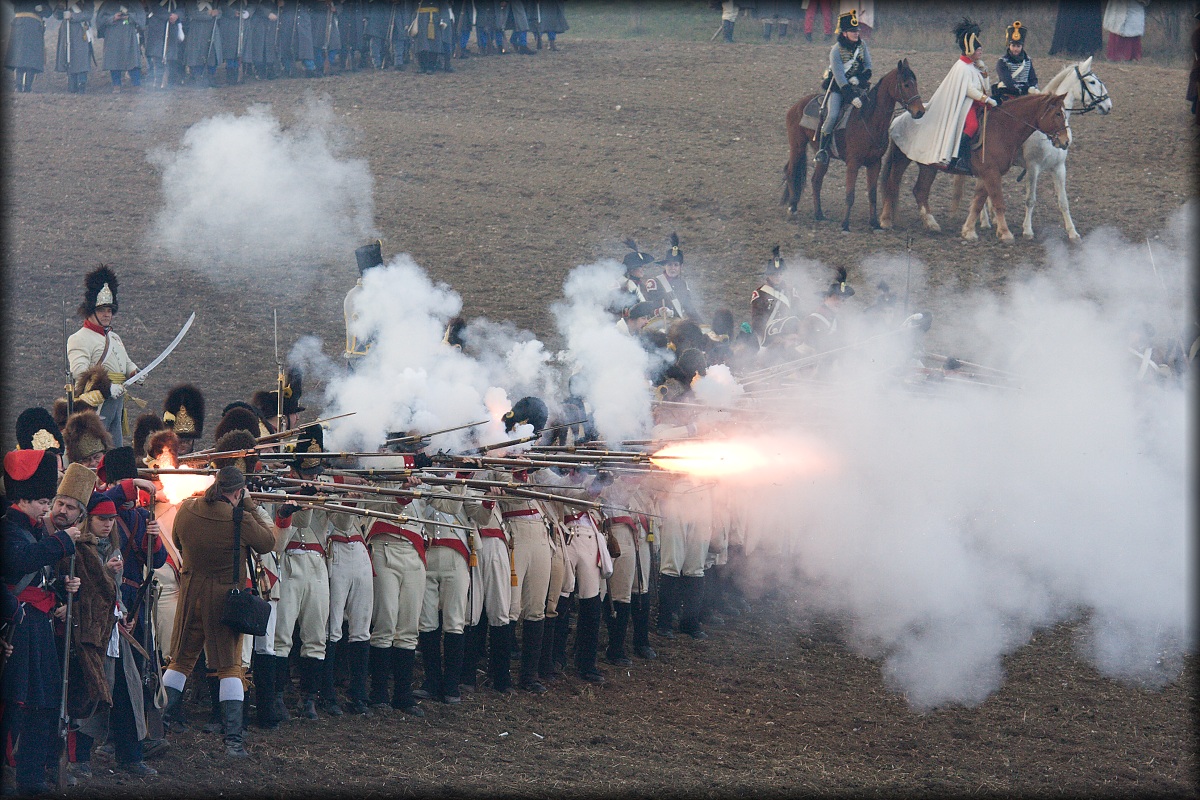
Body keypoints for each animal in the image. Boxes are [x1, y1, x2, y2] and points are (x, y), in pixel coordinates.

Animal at [782, 59, 926, 232]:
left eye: (915, 83)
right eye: (906, 84)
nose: (920, 112)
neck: (868, 120)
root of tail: (796, 106)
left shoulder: (874, 163)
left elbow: (872, 194)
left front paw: (874, 223)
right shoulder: (853, 163)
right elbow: (850, 195)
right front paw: (845, 225)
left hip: (823, 157)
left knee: (816, 181)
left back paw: (819, 215)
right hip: (797, 146)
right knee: (791, 173)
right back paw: (792, 209)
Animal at [879, 91, 1071, 242]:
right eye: (1057, 114)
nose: (1066, 141)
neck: (1001, 128)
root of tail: (901, 118)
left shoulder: (988, 174)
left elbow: (978, 201)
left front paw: (969, 231)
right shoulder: (991, 173)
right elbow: (998, 202)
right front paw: (1006, 233)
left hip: (928, 166)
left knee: (920, 191)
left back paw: (931, 224)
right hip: (902, 159)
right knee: (893, 185)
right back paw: (886, 220)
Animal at [949, 58, 1112, 242]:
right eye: (1092, 82)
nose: (1108, 105)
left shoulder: (1059, 168)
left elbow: (1063, 201)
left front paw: (1072, 232)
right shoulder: (1033, 167)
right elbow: (1030, 199)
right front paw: (1027, 230)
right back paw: (984, 221)